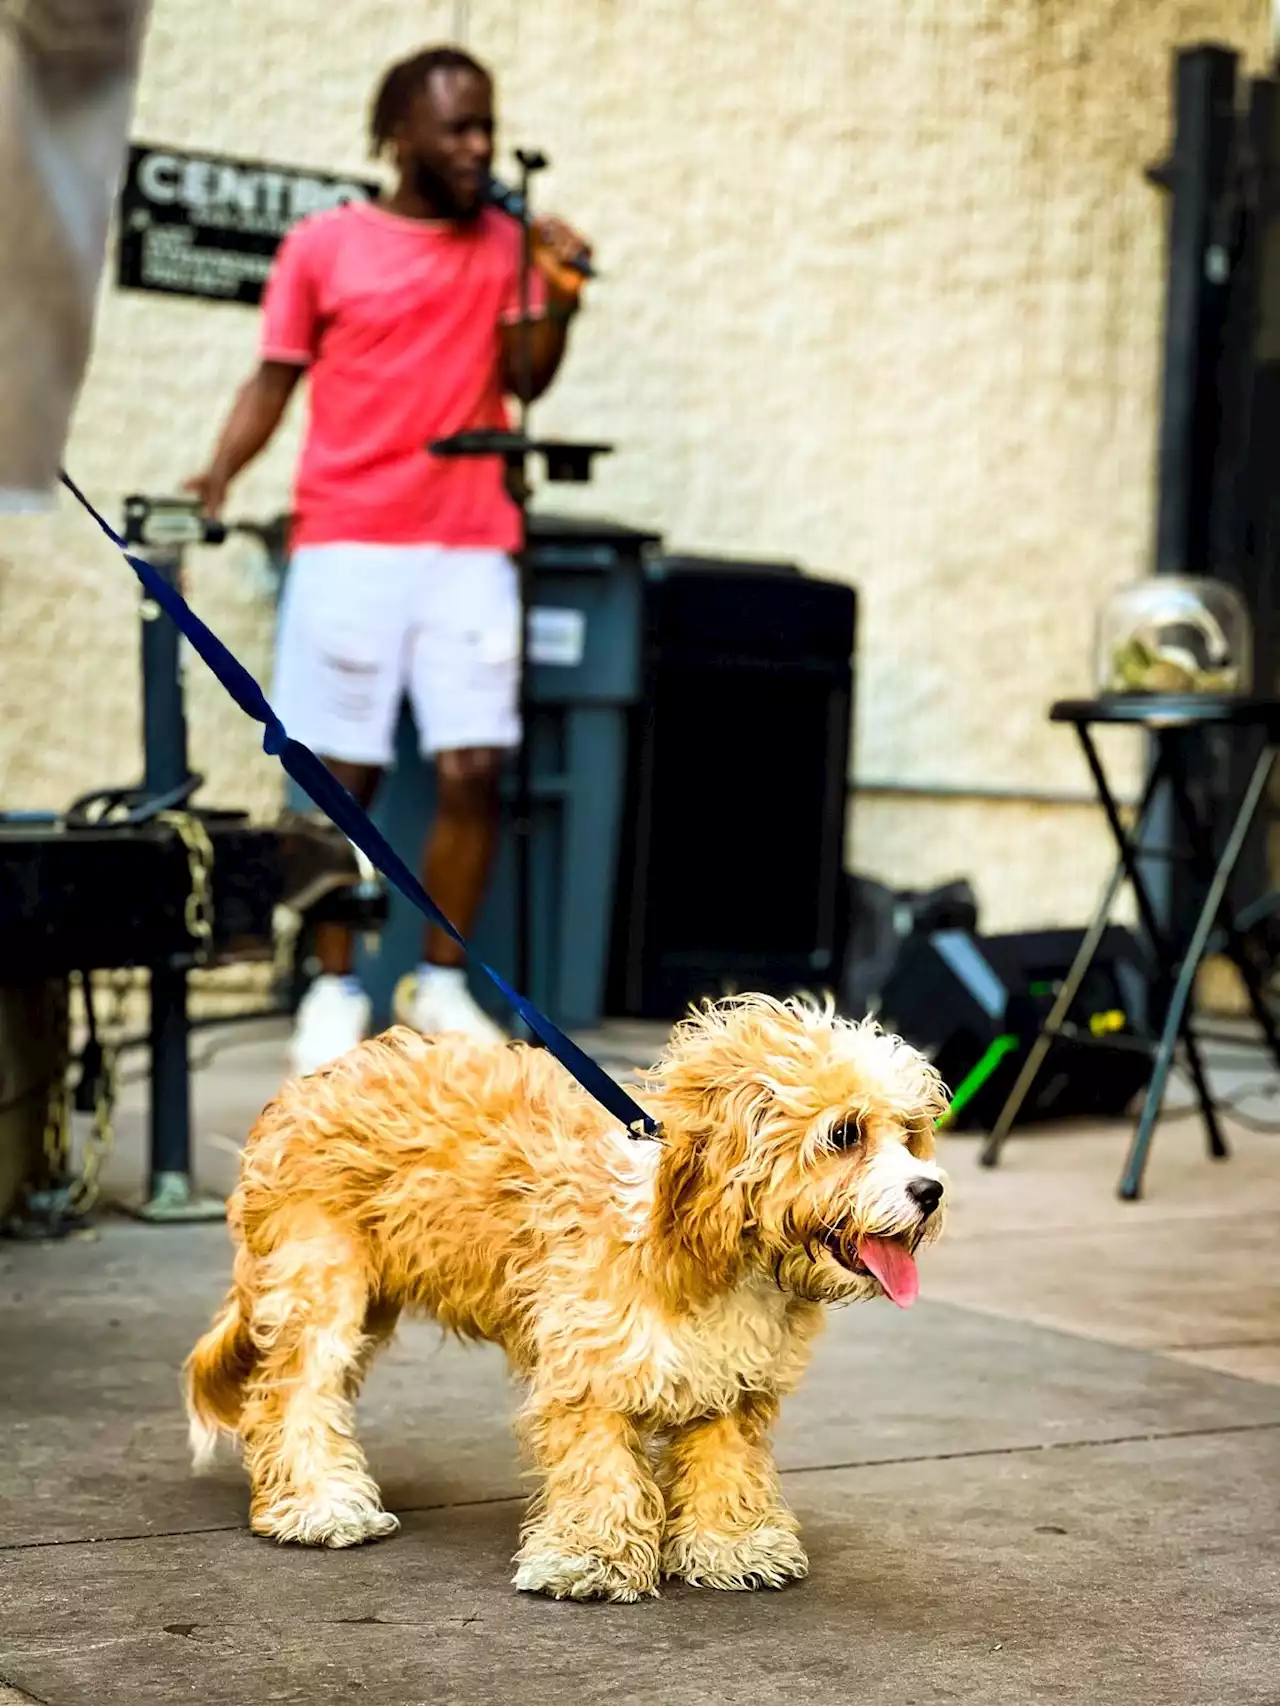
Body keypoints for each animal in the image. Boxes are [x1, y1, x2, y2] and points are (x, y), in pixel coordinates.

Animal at [187, 996, 955, 1603]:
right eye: (844, 1134)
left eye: (911, 1133)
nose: (931, 1190)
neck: (697, 1238)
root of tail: (301, 1091)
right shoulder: (592, 1372)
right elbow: (602, 1469)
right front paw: (591, 1562)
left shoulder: (733, 1385)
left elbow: (724, 1466)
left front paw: (732, 1547)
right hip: (320, 1287)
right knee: (291, 1398)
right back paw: (320, 1506)